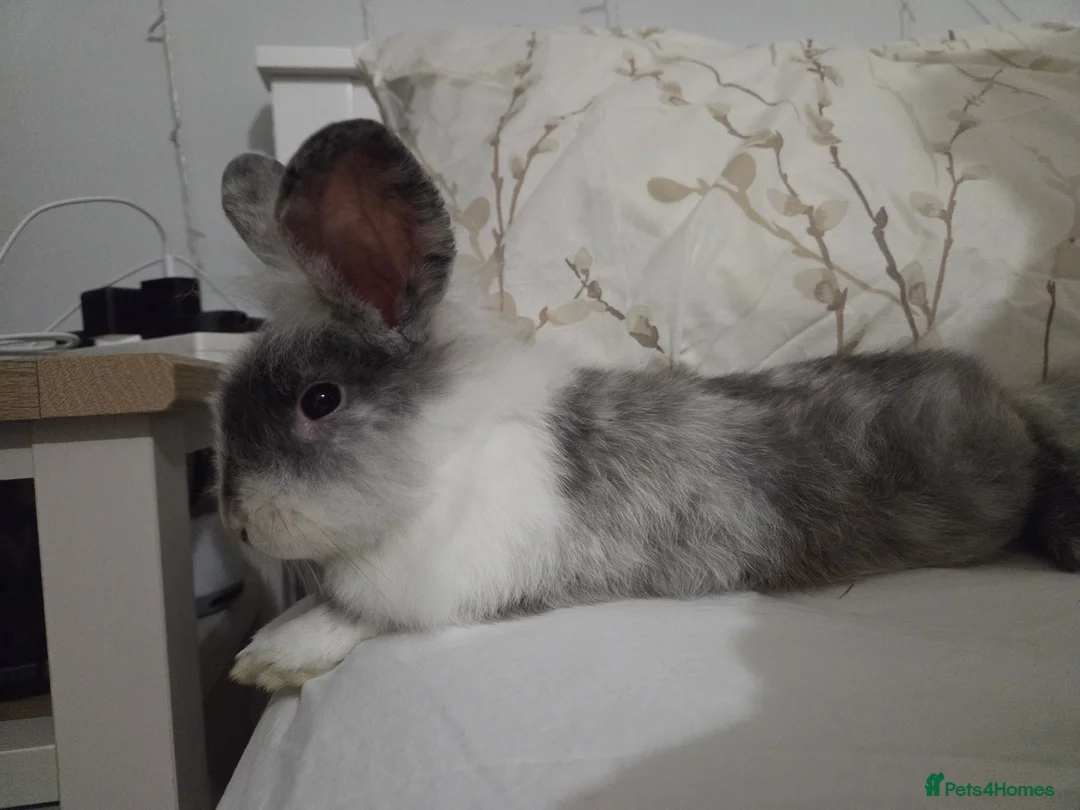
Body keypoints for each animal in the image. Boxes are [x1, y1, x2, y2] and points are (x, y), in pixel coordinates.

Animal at [215, 118, 1080, 691]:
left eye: (320, 400)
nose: (239, 523)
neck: (438, 459)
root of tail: (1007, 400)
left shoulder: (461, 574)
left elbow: (363, 613)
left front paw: (272, 658)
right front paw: (264, 644)